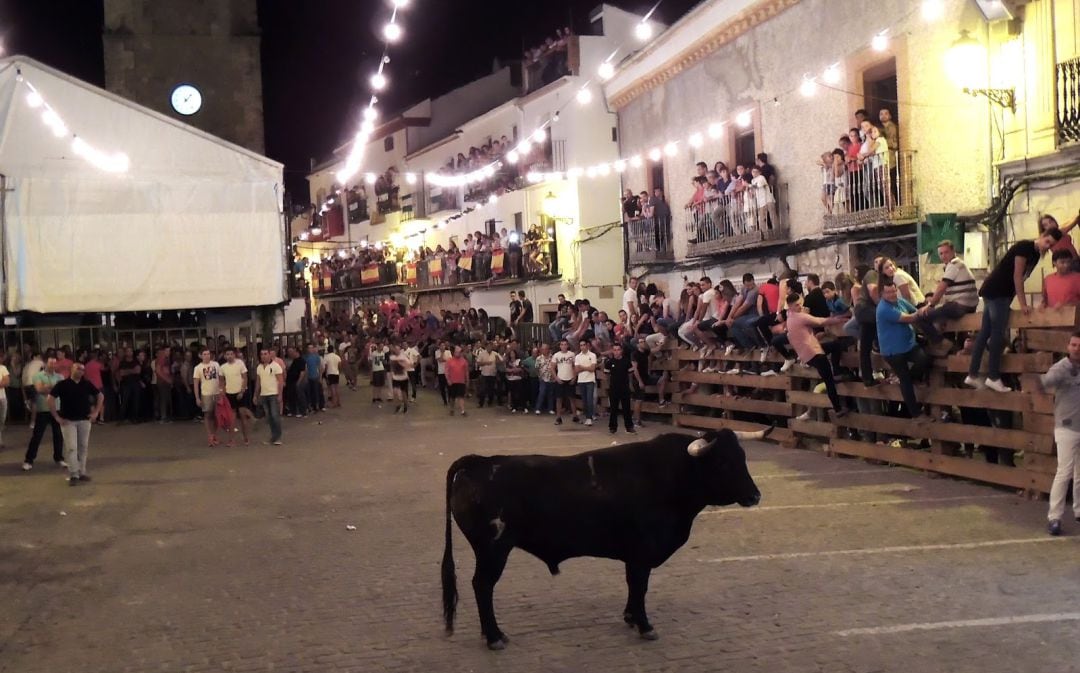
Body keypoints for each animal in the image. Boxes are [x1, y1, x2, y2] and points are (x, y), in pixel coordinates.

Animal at [434, 429, 764, 652]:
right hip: (493, 550)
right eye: (723, 463)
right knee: (482, 586)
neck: (673, 474)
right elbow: (640, 587)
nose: (755, 496)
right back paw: (494, 637)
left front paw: (631, 617)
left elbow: (634, 586)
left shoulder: (633, 555)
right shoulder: (643, 553)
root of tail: (480, 462)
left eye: (743, 458)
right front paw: (645, 625)